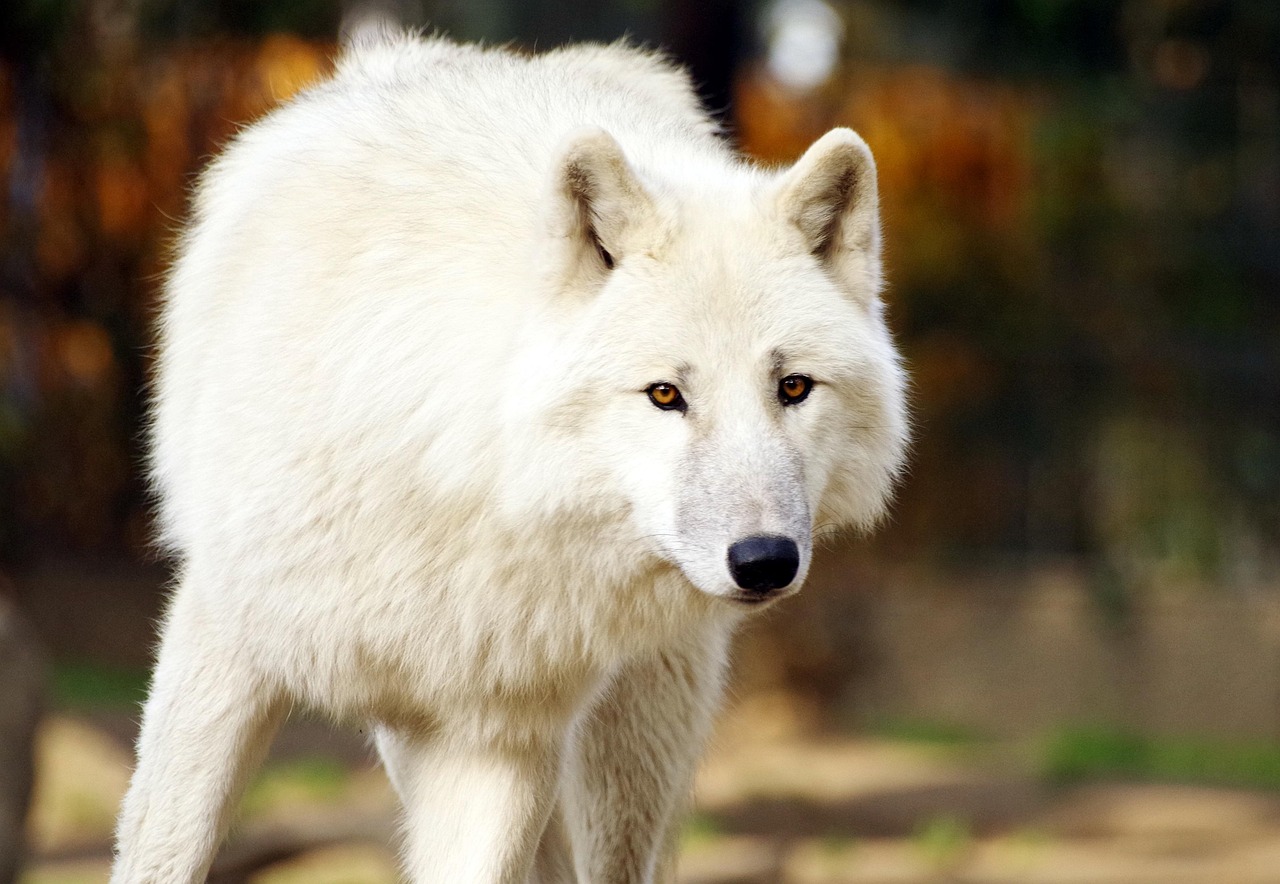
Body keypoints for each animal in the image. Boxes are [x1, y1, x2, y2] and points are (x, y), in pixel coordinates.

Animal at [112, 29, 908, 884]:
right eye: (665, 395)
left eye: (793, 387)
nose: (765, 561)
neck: (462, 478)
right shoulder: (222, 637)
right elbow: (164, 850)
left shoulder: (496, 740)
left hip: (631, 733)